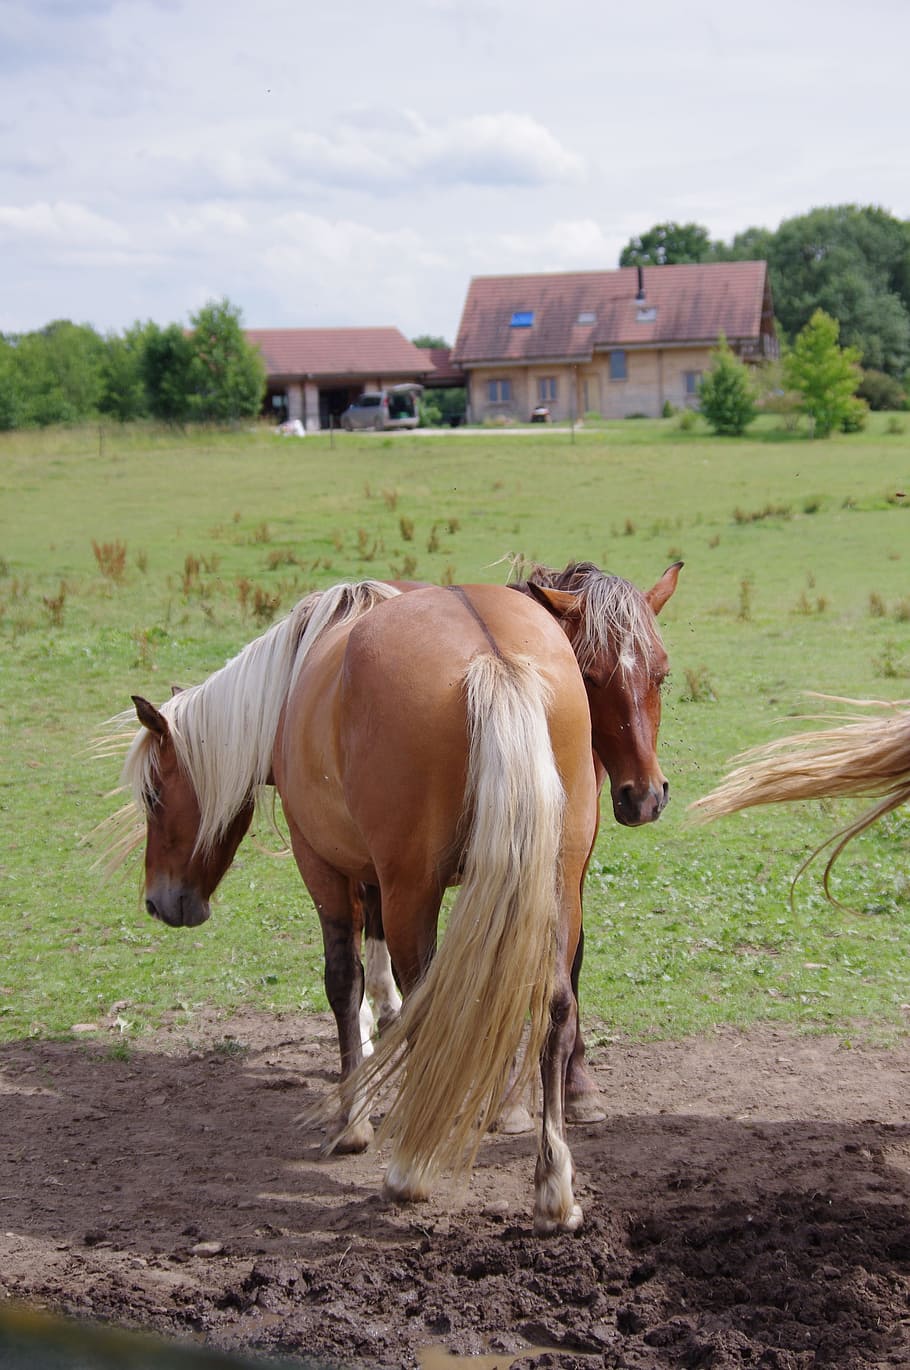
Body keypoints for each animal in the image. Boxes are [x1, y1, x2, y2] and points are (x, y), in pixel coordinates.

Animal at [106, 570, 678, 1232]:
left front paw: (352, 1118)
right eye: (598, 673)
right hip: (547, 875)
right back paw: (552, 1185)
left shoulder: (321, 863)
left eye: (153, 795)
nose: (161, 902)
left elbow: (343, 981)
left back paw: (410, 1168)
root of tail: (492, 656)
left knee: (436, 1006)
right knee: (552, 1003)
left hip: (417, 889)